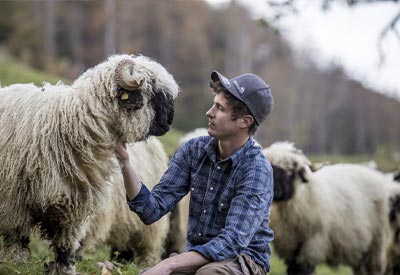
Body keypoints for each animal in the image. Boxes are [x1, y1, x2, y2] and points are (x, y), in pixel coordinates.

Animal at [264, 142, 392, 275]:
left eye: (290, 171)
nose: (276, 192)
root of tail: (373, 173)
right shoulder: (289, 247)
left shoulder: (313, 243)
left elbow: (303, 269)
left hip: (377, 245)